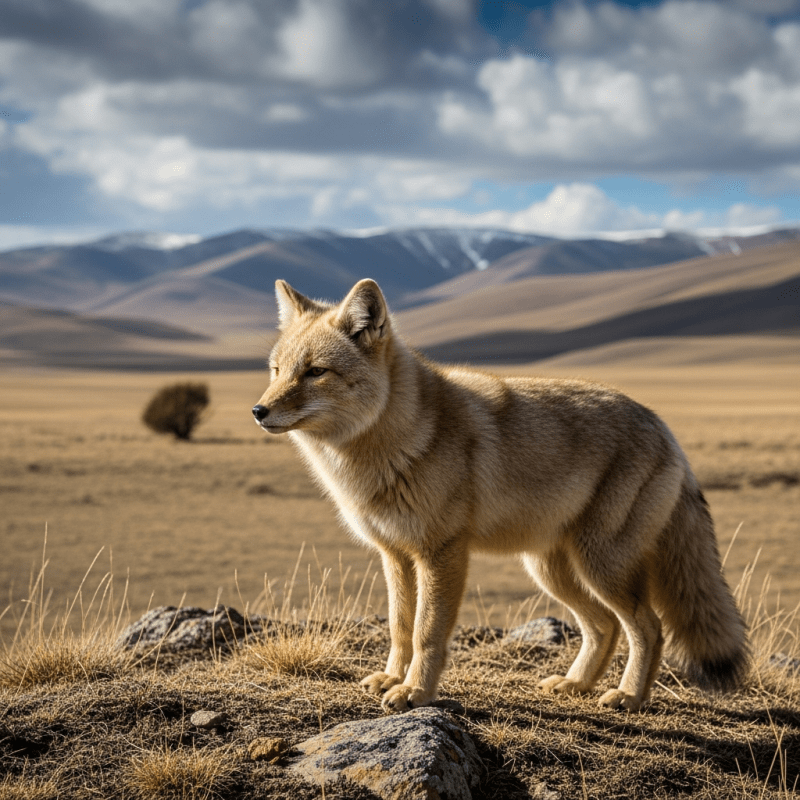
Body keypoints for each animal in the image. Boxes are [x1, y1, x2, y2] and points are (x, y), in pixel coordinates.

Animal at [252, 278, 749, 713]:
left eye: (315, 372)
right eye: (276, 371)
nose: (258, 410)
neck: (393, 443)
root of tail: (664, 427)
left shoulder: (441, 553)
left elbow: (426, 633)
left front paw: (415, 692)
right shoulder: (395, 554)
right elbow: (399, 626)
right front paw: (393, 678)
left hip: (601, 566)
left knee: (650, 628)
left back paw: (628, 696)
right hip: (553, 571)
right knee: (603, 626)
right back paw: (576, 684)